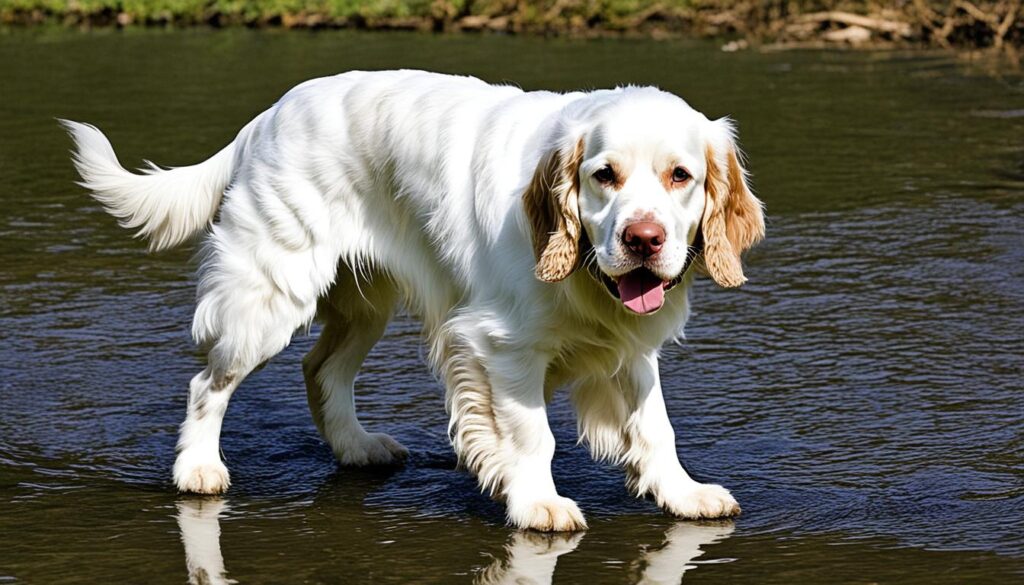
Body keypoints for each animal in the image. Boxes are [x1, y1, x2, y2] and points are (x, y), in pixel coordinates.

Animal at [61, 67, 761, 532]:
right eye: (603, 176)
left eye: (681, 176)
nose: (643, 240)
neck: (585, 270)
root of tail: (266, 118)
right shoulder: (499, 347)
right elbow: (532, 436)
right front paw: (537, 503)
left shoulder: (629, 347)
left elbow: (656, 427)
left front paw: (683, 494)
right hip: (269, 296)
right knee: (208, 383)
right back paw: (198, 470)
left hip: (364, 304)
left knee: (321, 370)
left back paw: (356, 447)